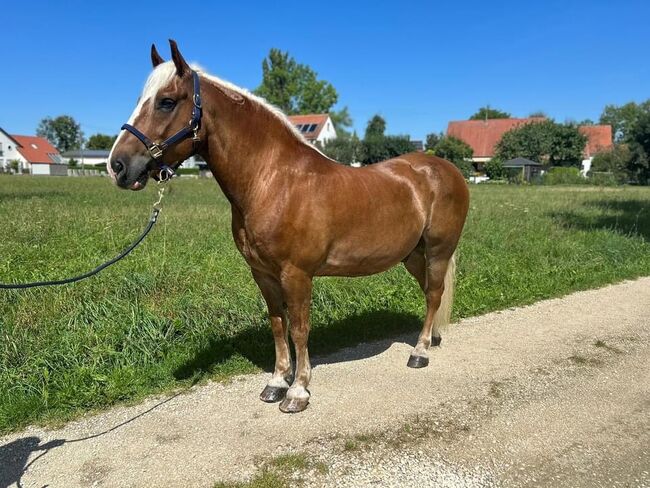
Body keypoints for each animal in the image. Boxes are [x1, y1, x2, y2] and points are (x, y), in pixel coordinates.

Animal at [109, 41, 468, 412]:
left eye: (166, 101)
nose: (118, 165)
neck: (274, 180)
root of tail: (445, 168)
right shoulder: (263, 274)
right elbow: (278, 325)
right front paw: (277, 382)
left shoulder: (296, 274)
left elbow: (299, 328)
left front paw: (297, 391)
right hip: (413, 254)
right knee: (431, 292)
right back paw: (433, 338)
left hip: (439, 250)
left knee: (434, 293)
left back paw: (420, 352)